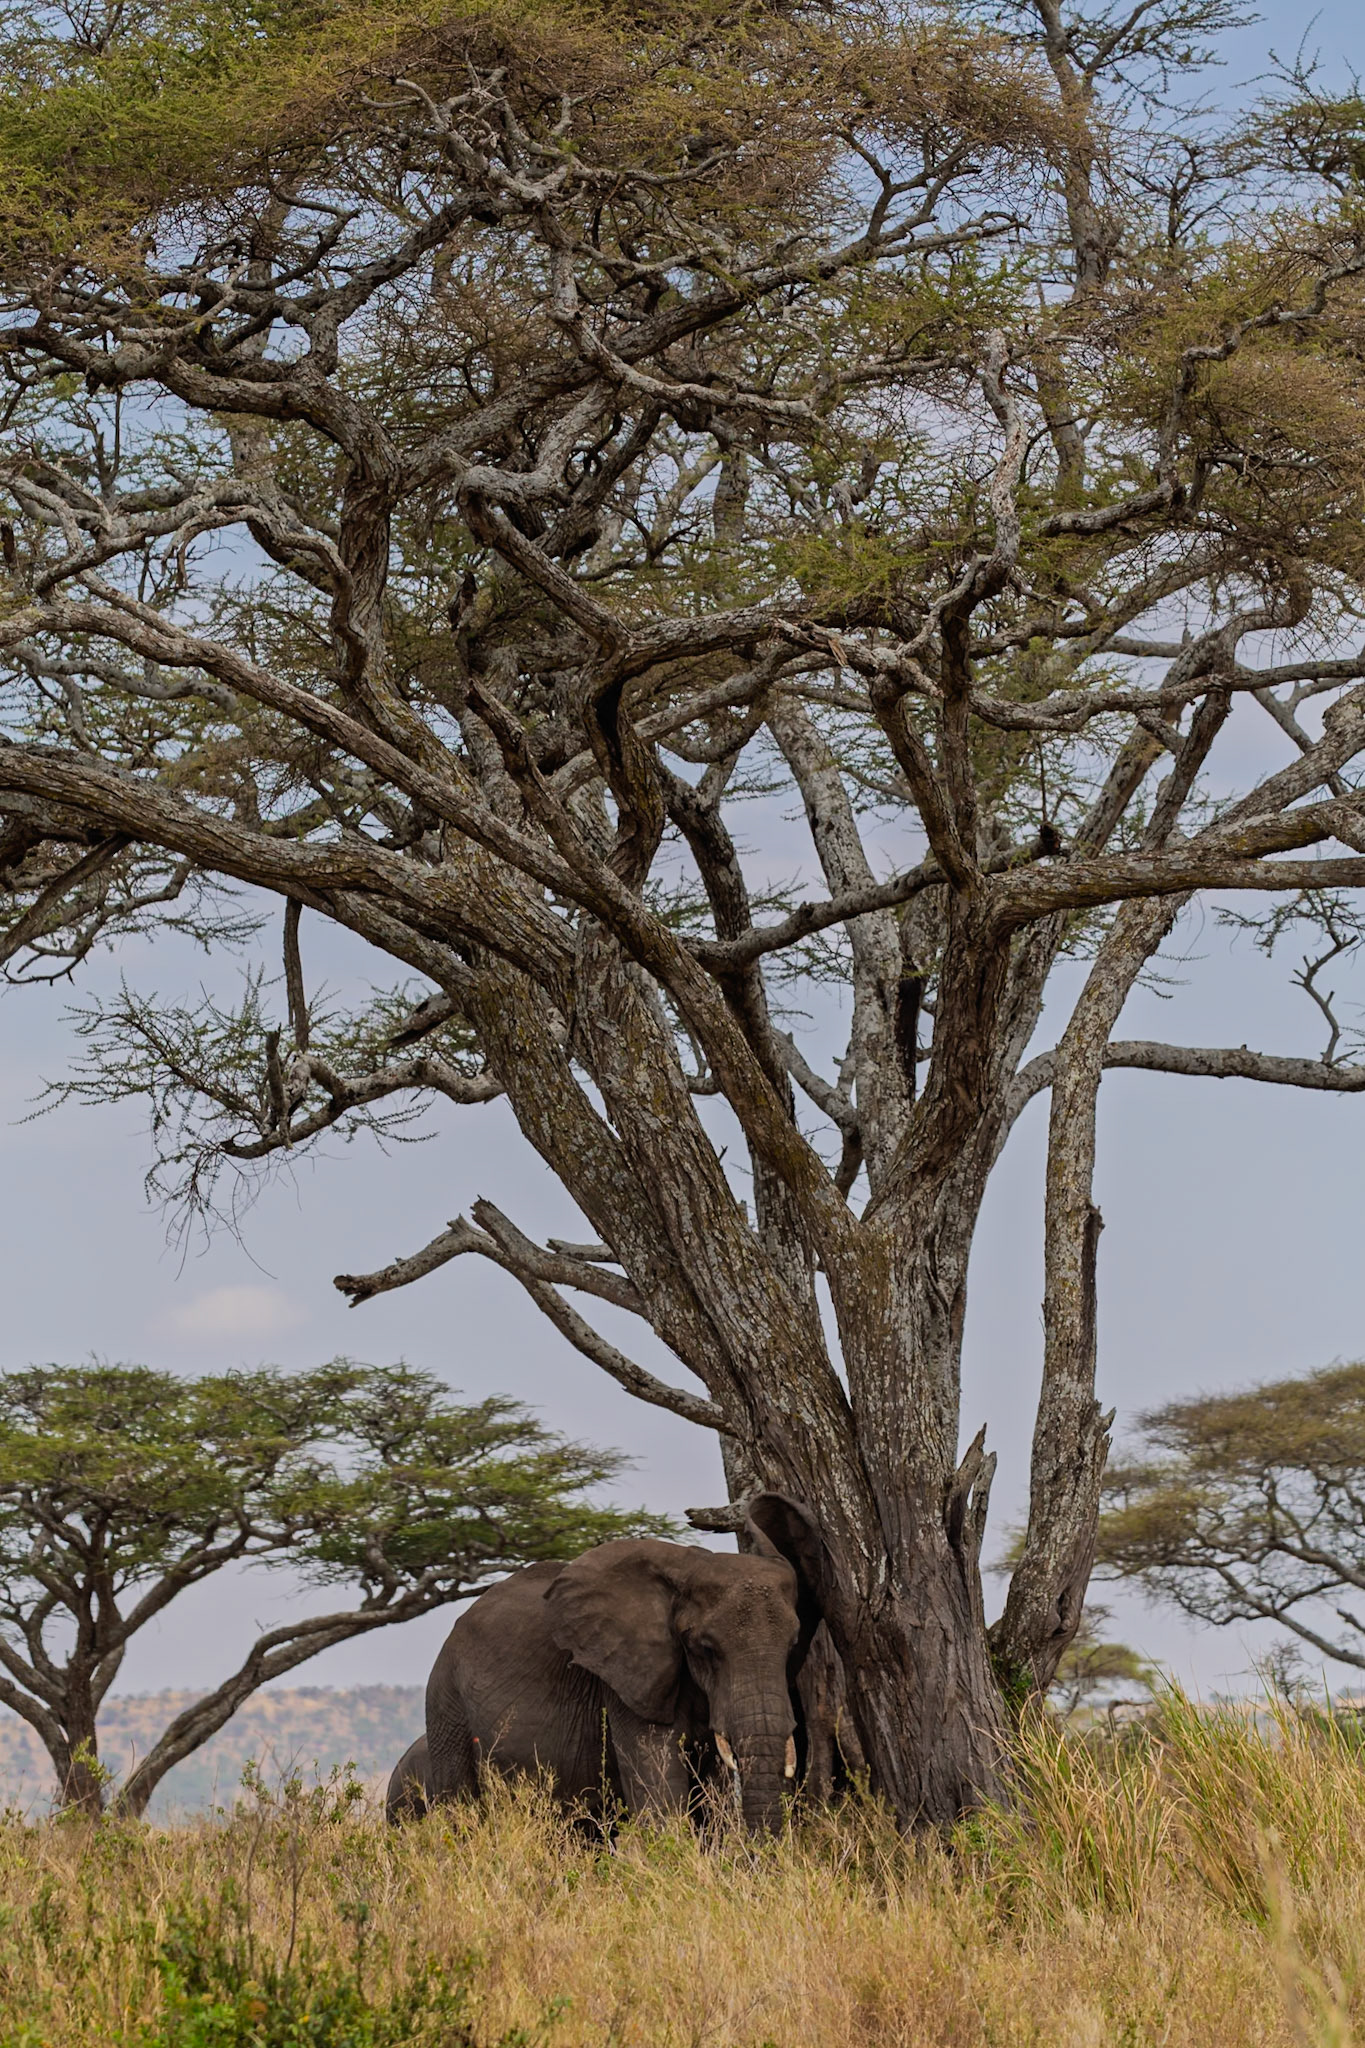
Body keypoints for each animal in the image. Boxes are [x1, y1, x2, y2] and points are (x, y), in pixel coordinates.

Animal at [424, 1494, 823, 1830]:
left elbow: (712, 1791)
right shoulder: (626, 1682)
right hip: (446, 1706)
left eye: (792, 1645)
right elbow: (661, 1791)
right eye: (706, 1648)